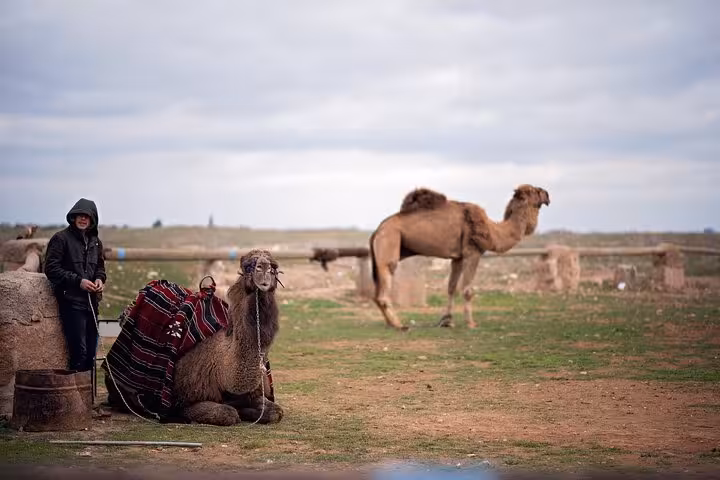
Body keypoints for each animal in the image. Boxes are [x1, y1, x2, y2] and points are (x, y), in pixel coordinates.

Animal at [106, 249, 284, 426]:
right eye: (247, 266)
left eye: (274, 266)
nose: (264, 269)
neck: (223, 369)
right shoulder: (184, 400)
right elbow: (226, 413)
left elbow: (276, 412)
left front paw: (250, 411)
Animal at [369, 184, 550, 331]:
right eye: (537, 191)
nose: (548, 195)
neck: (493, 231)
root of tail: (377, 231)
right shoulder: (472, 252)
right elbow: (468, 290)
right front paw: (471, 323)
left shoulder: (457, 258)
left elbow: (451, 287)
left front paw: (446, 321)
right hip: (390, 241)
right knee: (385, 284)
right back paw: (399, 324)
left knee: (377, 294)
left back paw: (390, 323)